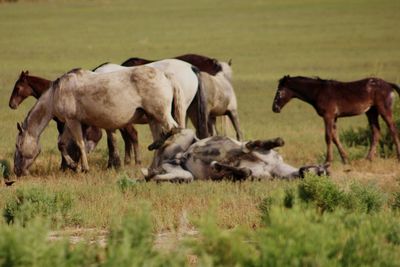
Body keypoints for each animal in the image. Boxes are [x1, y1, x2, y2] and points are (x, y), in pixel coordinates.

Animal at [13, 66, 184, 177]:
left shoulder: (72, 121)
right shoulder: (74, 123)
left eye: (18, 146)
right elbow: (62, 144)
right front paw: (74, 165)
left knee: (173, 131)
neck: (57, 93)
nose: (17, 171)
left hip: (160, 115)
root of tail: (166, 77)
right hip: (152, 118)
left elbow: (80, 144)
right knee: (161, 139)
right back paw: (153, 166)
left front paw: (83, 168)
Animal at [141, 129, 328, 183]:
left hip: (183, 174)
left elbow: (245, 171)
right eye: (321, 171)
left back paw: (150, 174)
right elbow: (272, 142)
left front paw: (217, 165)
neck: (273, 167)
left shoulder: (252, 175)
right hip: (188, 134)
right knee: (172, 132)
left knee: (157, 176)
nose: (305, 171)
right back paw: (156, 142)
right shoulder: (262, 150)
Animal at [272, 75, 400, 163]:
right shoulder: (334, 118)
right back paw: (368, 158)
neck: (319, 91)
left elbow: (328, 137)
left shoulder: (328, 116)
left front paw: (328, 160)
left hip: (383, 109)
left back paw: (397, 155)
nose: (274, 108)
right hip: (371, 112)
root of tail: (389, 85)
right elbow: (335, 137)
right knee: (376, 131)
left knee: (392, 128)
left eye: (279, 91)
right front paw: (345, 159)